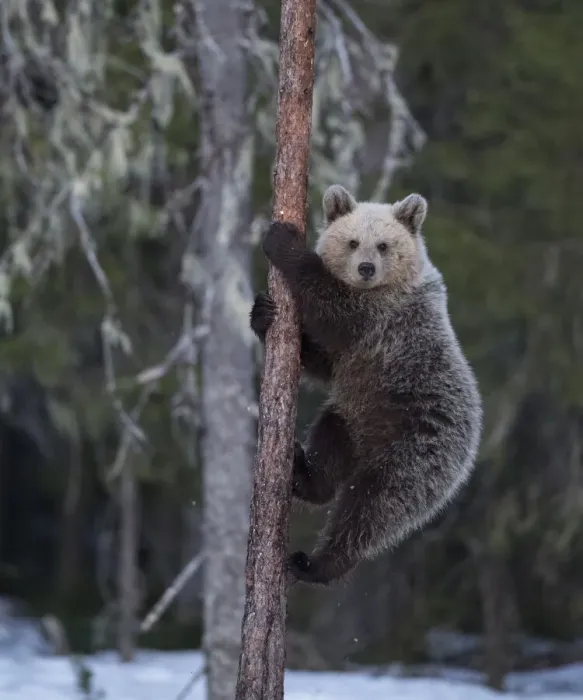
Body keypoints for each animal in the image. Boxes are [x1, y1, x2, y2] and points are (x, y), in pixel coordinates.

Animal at [250, 184, 482, 586]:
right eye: (353, 241)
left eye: (384, 245)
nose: (366, 268)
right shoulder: (355, 353)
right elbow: (324, 361)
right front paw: (262, 315)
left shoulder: (381, 320)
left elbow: (334, 307)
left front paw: (283, 240)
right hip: (354, 415)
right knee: (329, 439)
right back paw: (304, 473)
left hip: (415, 450)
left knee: (370, 510)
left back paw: (316, 564)